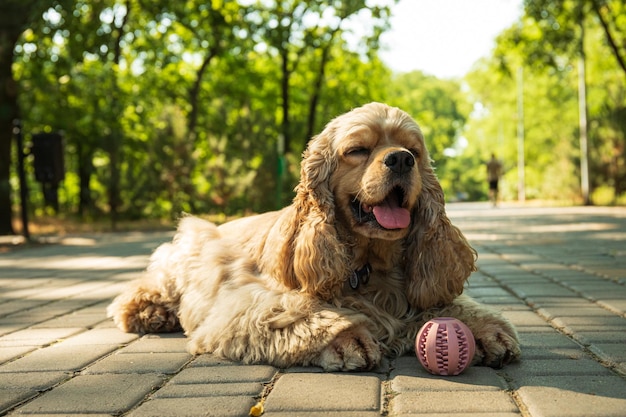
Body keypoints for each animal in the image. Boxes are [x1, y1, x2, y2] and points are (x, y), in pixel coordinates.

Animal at [107, 102, 516, 368]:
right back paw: (150, 312)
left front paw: (487, 331)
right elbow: (301, 313)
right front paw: (347, 338)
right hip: (185, 251)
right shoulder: (247, 302)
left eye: (414, 150)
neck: (370, 264)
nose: (401, 159)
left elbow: (454, 305)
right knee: (138, 292)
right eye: (358, 149)